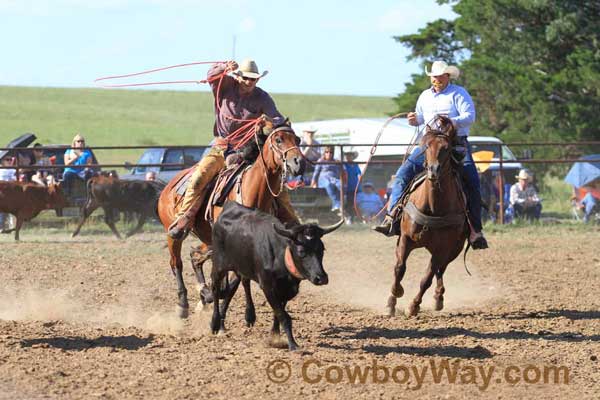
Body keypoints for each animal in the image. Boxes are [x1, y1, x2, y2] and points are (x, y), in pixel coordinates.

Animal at [157, 126, 304, 318]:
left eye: (297, 140)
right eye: (278, 140)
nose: (299, 163)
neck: (254, 192)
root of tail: (168, 186)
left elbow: (233, 281)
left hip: (208, 239)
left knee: (195, 256)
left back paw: (204, 294)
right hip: (173, 233)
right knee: (177, 263)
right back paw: (183, 304)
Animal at [386, 116, 472, 318]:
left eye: (446, 148)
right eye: (425, 146)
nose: (434, 170)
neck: (433, 207)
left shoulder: (443, 248)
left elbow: (426, 278)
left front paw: (413, 306)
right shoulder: (405, 238)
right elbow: (399, 268)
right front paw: (393, 299)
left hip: (455, 249)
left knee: (440, 270)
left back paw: (438, 298)